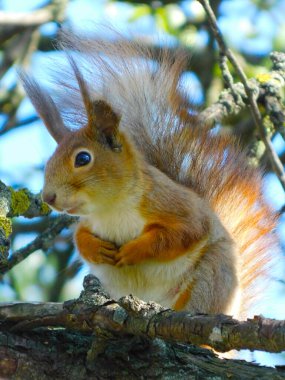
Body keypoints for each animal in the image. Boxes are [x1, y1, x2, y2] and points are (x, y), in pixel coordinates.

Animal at [21, 31, 276, 320]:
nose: (48, 197)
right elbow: (79, 237)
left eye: (83, 159)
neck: (110, 209)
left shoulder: (169, 203)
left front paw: (135, 250)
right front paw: (95, 248)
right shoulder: (89, 221)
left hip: (211, 277)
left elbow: (185, 232)